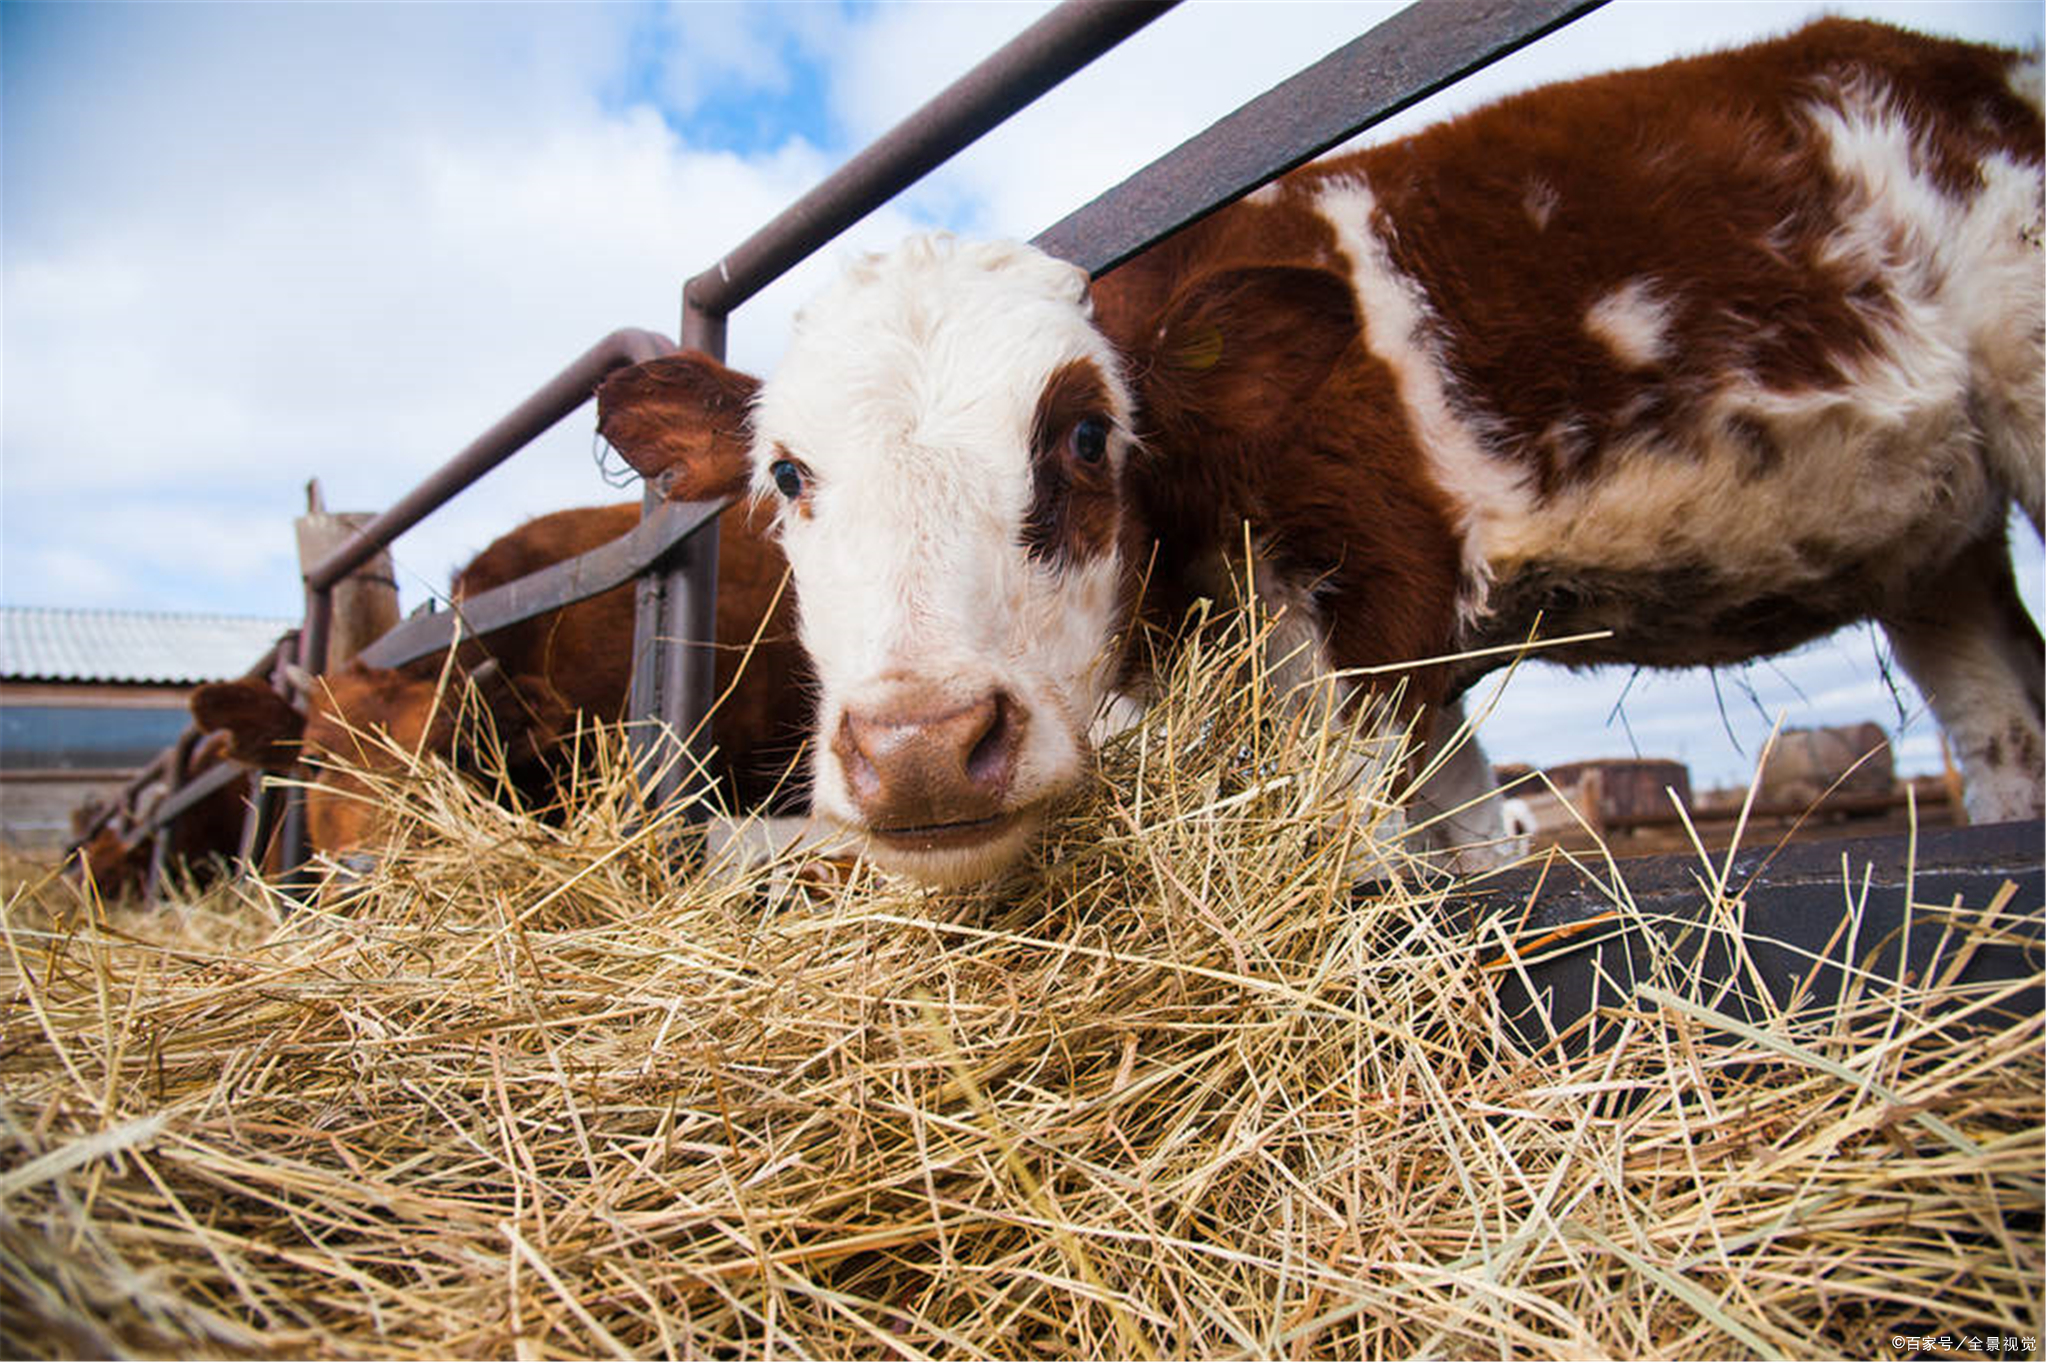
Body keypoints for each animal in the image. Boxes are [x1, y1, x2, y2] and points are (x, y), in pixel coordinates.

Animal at [601, 23, 2046, 891]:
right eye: (787, 476)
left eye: (1085, 434)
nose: (920, 746)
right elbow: (1469, 847)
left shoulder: (1385, 603)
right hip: (1941, 553)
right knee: (2002, 733)